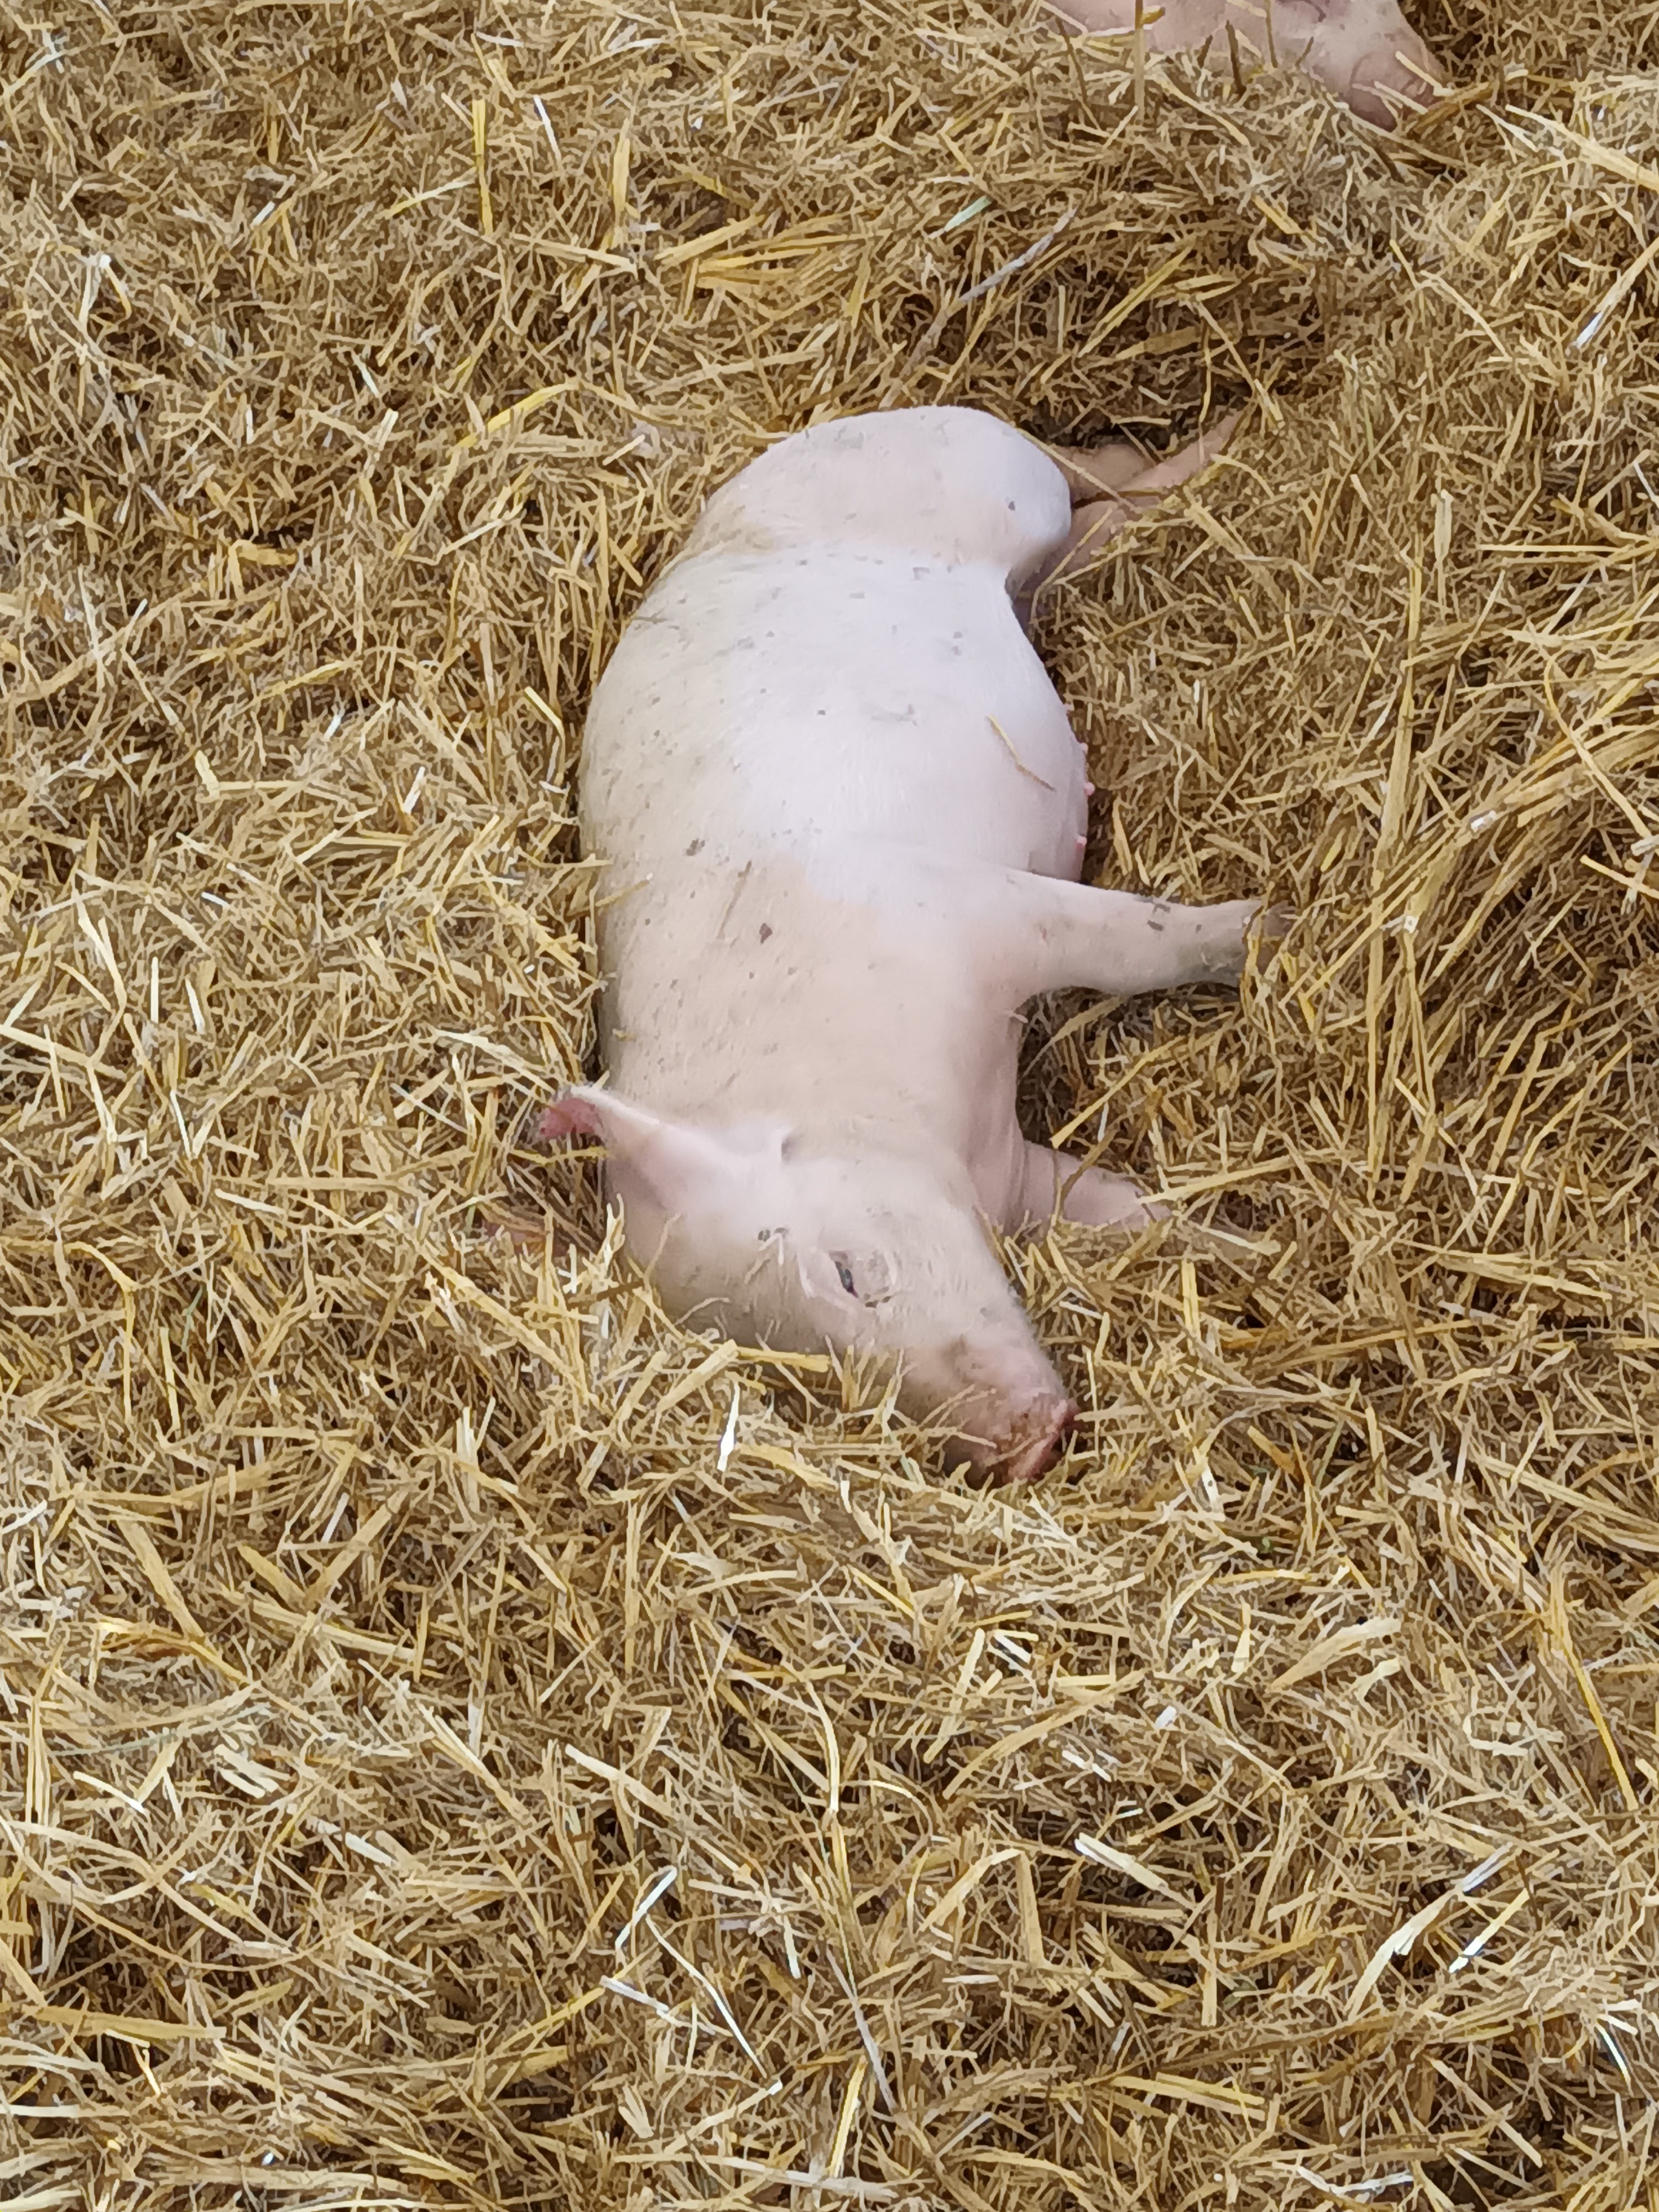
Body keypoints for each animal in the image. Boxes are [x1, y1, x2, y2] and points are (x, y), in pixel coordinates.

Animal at [538, 406, 1277, 1484]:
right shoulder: (1011, 1174)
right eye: (802, 1373)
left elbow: (1132, 943)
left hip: (985, 466)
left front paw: (1275, 928)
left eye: (850, 1273)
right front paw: (1244, 1245)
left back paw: (1218, 441)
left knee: (1089, 476)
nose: (1027, 1448)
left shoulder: (969, 914)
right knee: (1091, 546)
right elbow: (1121, 1208)